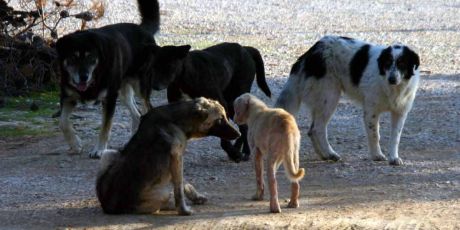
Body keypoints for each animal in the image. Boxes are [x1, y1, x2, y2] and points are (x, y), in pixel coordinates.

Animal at [55, 0, 173, 158]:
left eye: (90, 57)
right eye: (73, 57)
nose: (83, 77)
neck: (95, 76)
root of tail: (143, 29)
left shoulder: (109, 98)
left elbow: (105, 127)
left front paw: (99, 150)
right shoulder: (67, 97)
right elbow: (62, 122)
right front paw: (75, 144)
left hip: (140, 86)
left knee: (147, 109)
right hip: (123, 91)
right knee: (137, 115)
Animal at [97, 97, 241, 216]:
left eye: (225, 117)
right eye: (220, 120)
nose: (239, 134)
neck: (176, 120)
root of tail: (110, 207)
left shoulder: (176, 160)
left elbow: (183, 183)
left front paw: (195, 197)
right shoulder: (177, 157)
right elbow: (179, 188)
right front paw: (184, 210)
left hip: (109, 153)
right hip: (163, 194)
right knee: (160, 205)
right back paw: (171, 205)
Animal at [142, 42, 272, 162]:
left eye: (169, 65)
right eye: (153, 66)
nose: (155, 86)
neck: (184, 76)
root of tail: (245, 48)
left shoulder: (221, 105)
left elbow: (224, 134)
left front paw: (233, 153)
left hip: (235, 98)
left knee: (244, 126)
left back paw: (245, 151)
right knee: (242, 125)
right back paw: (238, 148)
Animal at [276, 36, 420, 165]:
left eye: (402, 64)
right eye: (388, 63)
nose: (392, 79)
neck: (393, 88)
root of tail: (311, 51)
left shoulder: (400, 113)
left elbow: (395, 137)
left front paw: (394, 158)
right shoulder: (371, 111)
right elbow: (374, 135)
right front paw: (377, 155)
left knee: (312, 130)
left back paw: (324, 155)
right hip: (329, 97)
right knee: (317, 128)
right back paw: (330, 153)